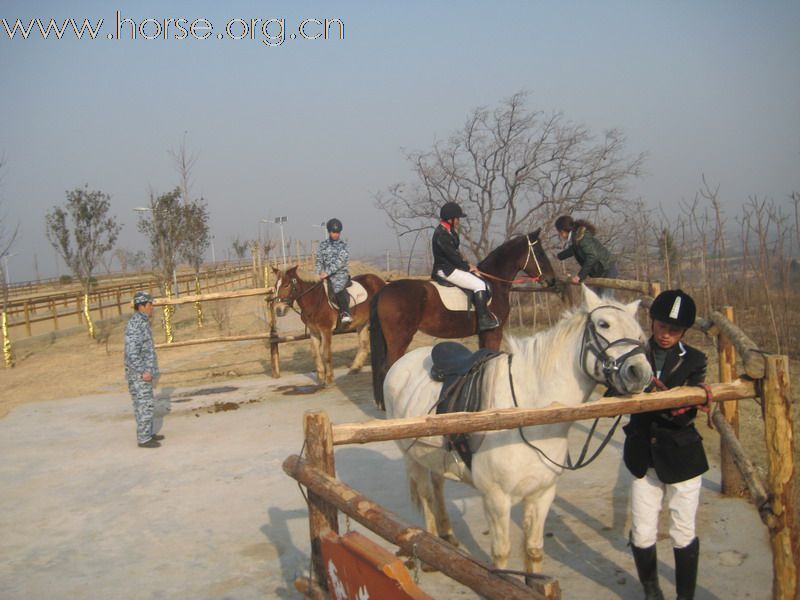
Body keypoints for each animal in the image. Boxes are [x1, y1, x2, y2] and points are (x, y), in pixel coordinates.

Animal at [370, 230, 552, 408]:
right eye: (540, 253)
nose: (552, 280)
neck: (494, 283)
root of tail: (384, 290)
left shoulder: (484, 333)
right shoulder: (494, 332)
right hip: (400, 338)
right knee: (389, 367)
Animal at [384, 284, 652, 572]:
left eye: (638, 332)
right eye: (604, 324)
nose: (640, 373)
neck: (529, 414)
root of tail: (401, 363)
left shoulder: (541, 494)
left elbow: (534, 551)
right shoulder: (496, 499)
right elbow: (501, 557)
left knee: (437, 485)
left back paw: (447, 536)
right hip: (411, 457)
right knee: (426, 495)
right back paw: (430, 550)